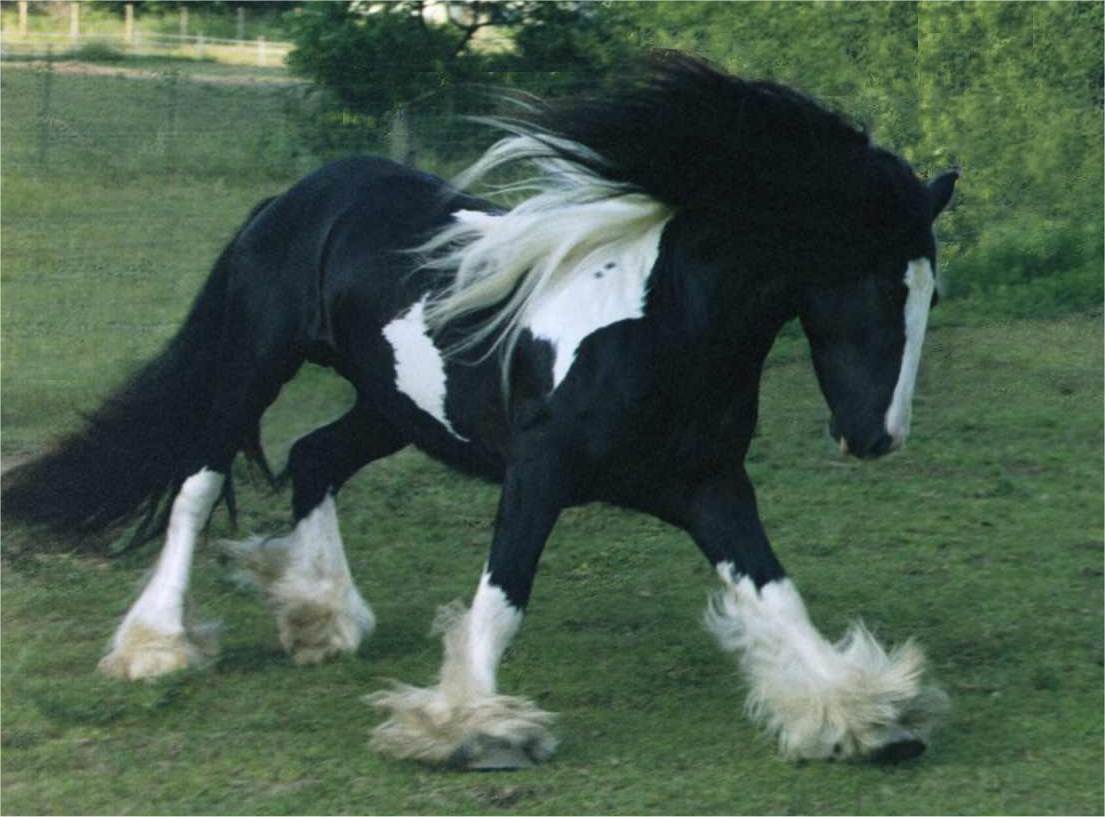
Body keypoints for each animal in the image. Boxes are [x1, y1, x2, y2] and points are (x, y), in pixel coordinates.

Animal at [2, 53, 958, 768]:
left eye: (930, 292)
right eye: (882, 286)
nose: (877, 437)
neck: (658, 326)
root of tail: (294, 198)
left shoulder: (710, 488)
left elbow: (775, 591)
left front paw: (858, 712)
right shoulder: (537, 474)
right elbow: (501, 597)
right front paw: (469, 726)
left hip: (390, 406)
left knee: (313, 456)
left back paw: (320, 616)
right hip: (253, 365)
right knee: (199, 485)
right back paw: (156, 644)